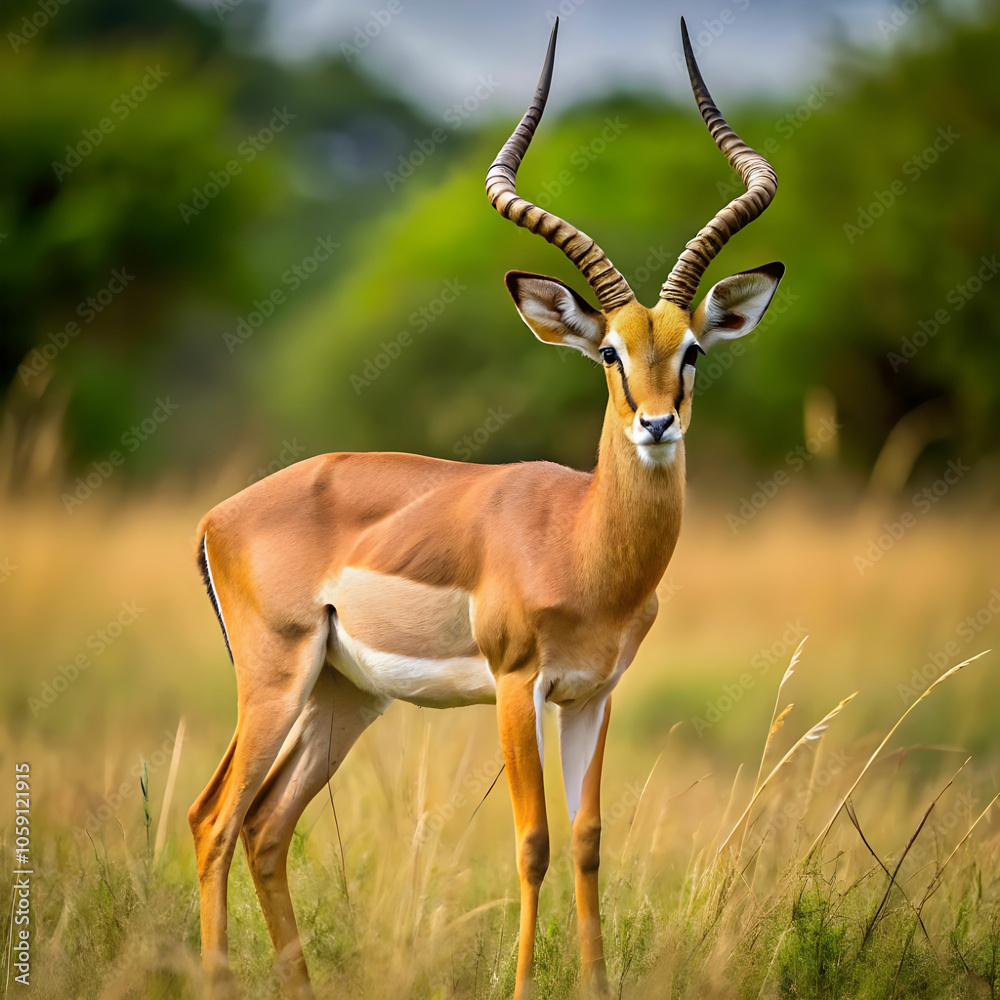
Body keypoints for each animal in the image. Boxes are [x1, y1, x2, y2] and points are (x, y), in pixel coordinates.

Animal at [189, 17, 783, 1000]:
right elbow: (533, 842)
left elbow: (587, 842)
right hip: (272, 680)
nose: (657, 423)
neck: (580, 543)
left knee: (268, 825)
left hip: (344, 696)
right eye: (610, 354)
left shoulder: (593, 694)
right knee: (214, 821)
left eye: (692, 349)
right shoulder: (515, 685)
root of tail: (218, 517)